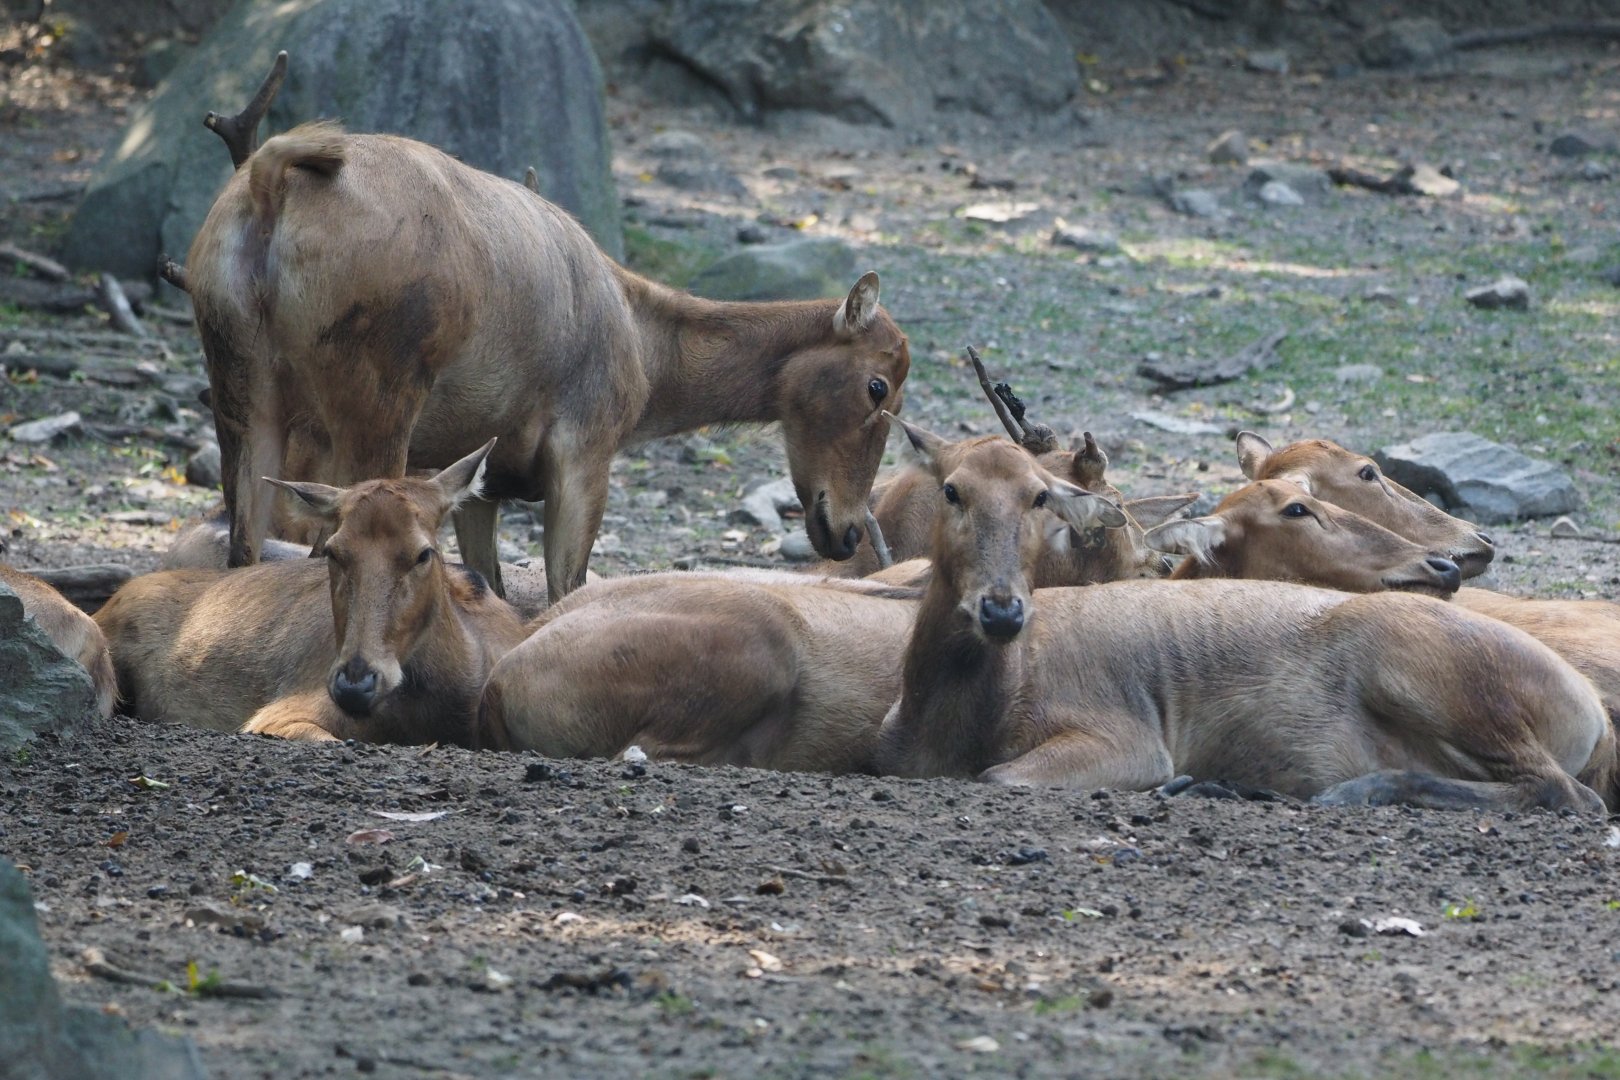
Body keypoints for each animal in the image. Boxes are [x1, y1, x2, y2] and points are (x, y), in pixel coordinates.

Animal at [180, 55, 910, 604]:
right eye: (879, 386)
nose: (847, 531)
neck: (647, 356)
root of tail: (269, 182)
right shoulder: (584, 445)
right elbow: (567, 586)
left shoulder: (477, 476)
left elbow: (493, 584)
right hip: (372, 403)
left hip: (241, 386)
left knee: (245, 547)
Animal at [874, 421, 1617, 816]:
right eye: (952, 491)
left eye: (1038, 496)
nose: (1452, 559)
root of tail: (1592, 712)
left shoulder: (1127, 739)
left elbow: (999, 776)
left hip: (1421, 674)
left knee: (1562, 793)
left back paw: (1345, 788)